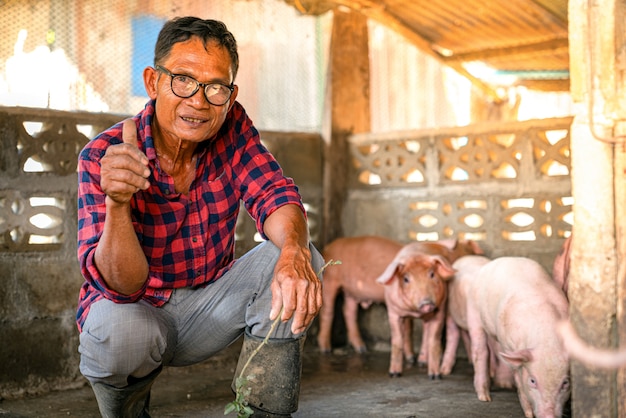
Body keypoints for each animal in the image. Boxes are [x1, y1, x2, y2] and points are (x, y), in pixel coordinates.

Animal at [466, 256, 568, 416]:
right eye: (532, 381)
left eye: (565, 383)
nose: (549, 416)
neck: (547, 340)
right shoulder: (511, 346)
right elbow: (517, 375)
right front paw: (529, 414)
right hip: (473, 309)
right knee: (480, 349)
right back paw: (485, 397)